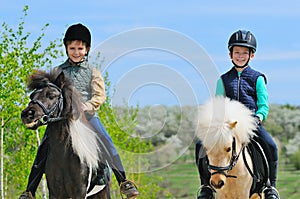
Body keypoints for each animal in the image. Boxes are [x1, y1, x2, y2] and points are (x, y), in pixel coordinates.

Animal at [21, 69, 110, 197]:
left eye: (51, 95)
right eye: (32, 95)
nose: (27, 114)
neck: (63, 154)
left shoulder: (79, 192)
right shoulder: (55, 192)